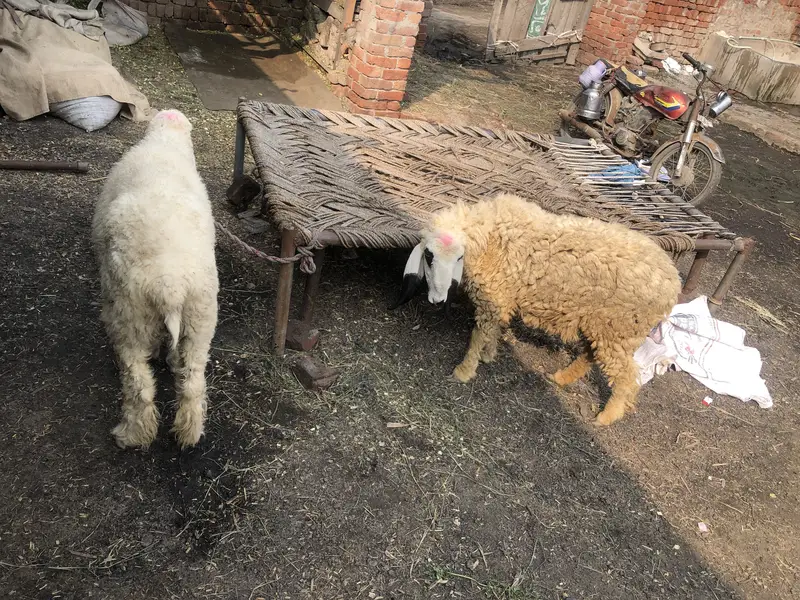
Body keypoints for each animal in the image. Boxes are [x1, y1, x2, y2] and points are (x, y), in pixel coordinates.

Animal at [92, 109, 219, 449]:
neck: (167, 143)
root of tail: (169, 286)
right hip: (200, 319)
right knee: (192, 383)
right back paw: (189, 433)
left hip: (130, 318)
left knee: (139, 384)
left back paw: (131, 434)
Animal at [392, 193, 682, 426]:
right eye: (428, 256)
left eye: (459, 257)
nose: (438, 300)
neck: (490, 239)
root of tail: (673, 281)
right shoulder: (499, 298)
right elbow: (493, 331)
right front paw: (489, 354)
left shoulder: (492, 299)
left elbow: (478, 336)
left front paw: (464, 371)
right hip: (600, 324)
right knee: (591, 355)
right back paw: (563, 377)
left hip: (619, 328)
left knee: (626, 376)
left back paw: (606, 417)